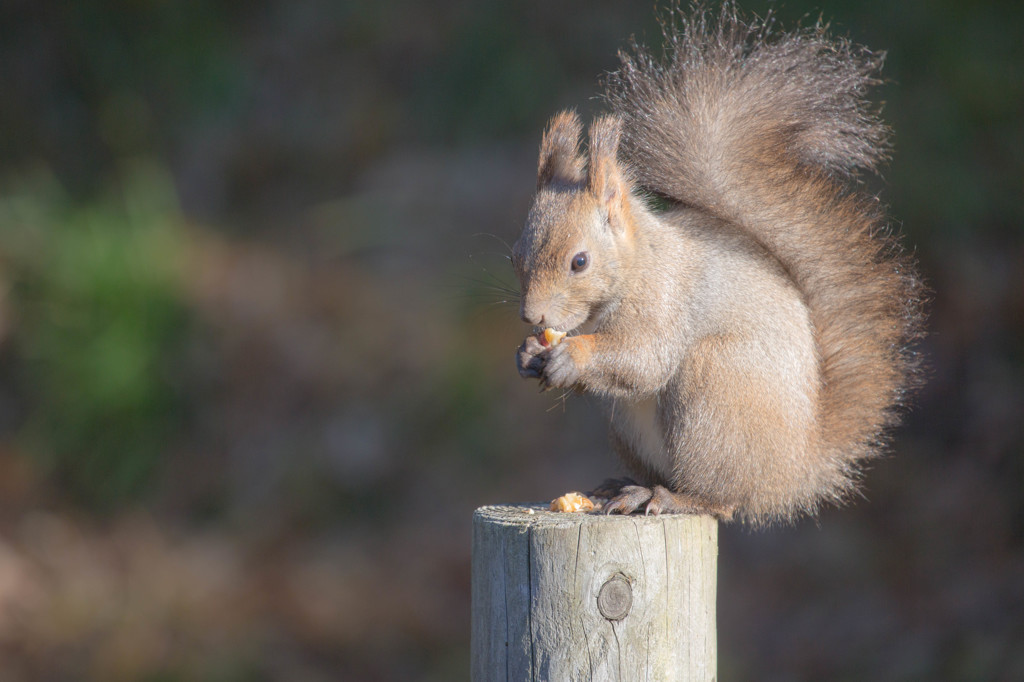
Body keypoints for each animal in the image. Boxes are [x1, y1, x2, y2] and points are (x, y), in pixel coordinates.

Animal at [516, 3, 925, 520]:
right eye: (516, 255)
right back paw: (627, 487)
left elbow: (644, 358)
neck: (639, 263)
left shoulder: (666, 302)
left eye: (580, 262)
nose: (532, 316)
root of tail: (795, 470)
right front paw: (527, 354)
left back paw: (668, 496)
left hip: (713, 389)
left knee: (721, 500)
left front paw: (572, 354)